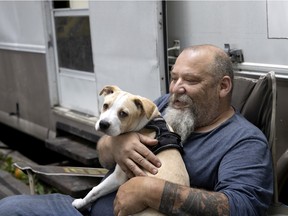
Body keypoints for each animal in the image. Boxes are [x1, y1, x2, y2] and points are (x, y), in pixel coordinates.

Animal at [72, 85, 189, 215]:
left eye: (123, 113)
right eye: (105, 105)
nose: (103, 124)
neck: (147, 123)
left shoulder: (118, 176)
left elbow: (95, 190)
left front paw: (80, 202)